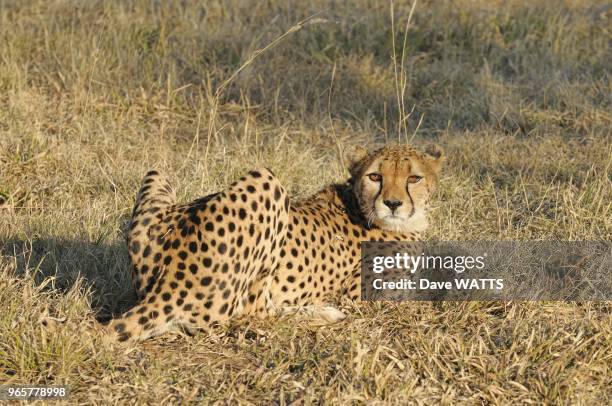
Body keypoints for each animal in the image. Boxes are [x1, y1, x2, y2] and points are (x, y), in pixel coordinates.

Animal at [107, 144, 444, 340]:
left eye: (413, 178)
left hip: (156, 176)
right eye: (375, 177)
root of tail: (162, 290)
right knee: (250, 313)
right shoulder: (362, 293)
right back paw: (322, 313)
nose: (393, 204)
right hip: (266, 181)